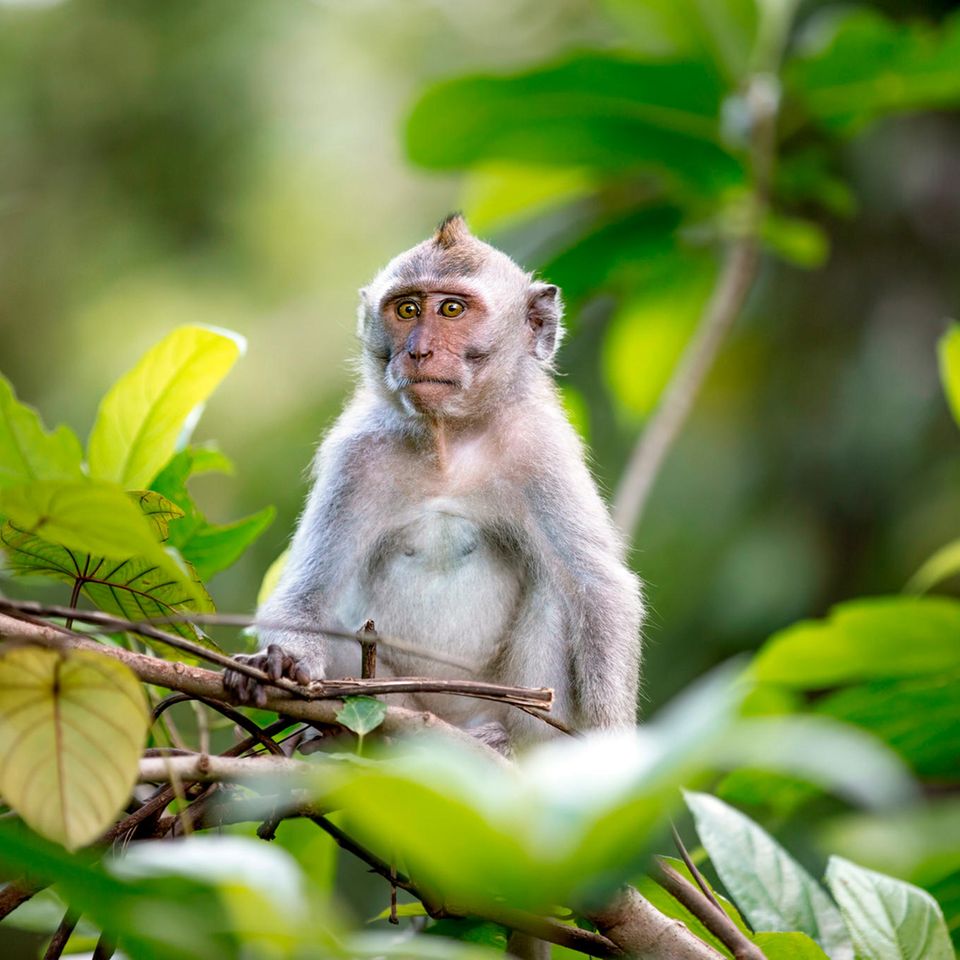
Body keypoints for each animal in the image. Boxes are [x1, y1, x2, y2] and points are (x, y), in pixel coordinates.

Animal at [224, 214, 643, 748]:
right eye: (406, 309)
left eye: (451, 309)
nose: (418, 350)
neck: (449, 444)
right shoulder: (355, 458)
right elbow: (308, 592)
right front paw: (280, 663)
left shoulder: (541, 451)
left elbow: (599, 591)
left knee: (557, 594)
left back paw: (503, 742)